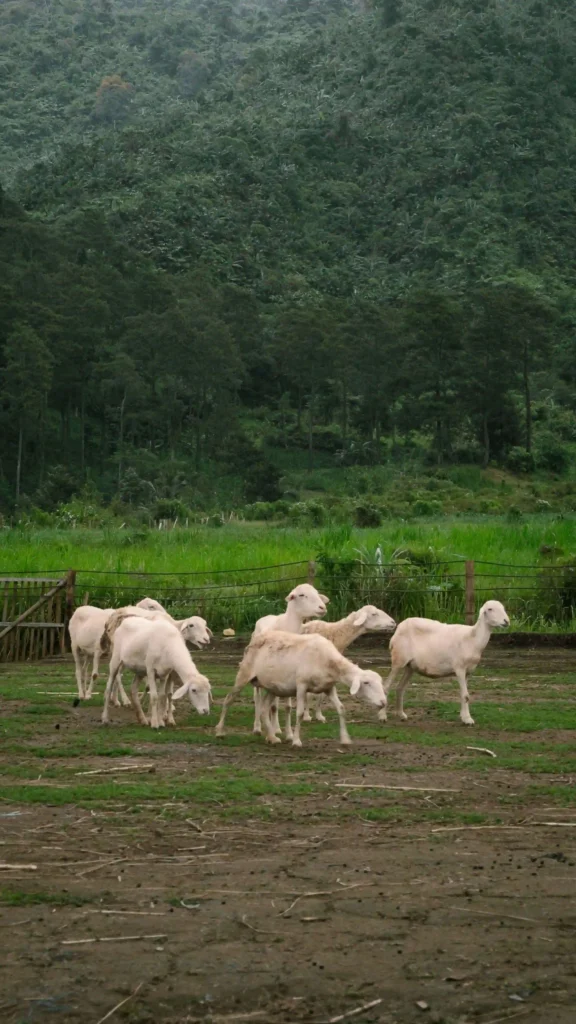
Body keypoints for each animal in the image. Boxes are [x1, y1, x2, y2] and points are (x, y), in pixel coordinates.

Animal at [213, 626, 383, 749]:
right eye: (366, 683)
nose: (383, 702)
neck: (328, 661)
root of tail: (255, 639)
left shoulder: (329, 688)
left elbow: (341, 709)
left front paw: (345, 739)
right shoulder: (301, 685)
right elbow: (300, 713)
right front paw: (296, 741)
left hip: (272, 687)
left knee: (263, 709)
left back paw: (272, 737)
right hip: (244, 673)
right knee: (229, 699)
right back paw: (220, 731)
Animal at [381, 598, 506, 729]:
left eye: (503, 608)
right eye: (490, 609)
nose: (506, 621)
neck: (472, 638)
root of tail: (398, 629)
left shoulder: (468, 672)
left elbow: (464, 695)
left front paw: (464, 717)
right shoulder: (459, 668)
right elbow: (465, 695)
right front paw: (468, 719)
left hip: (411, 666)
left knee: (400, 688)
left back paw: (401, 714)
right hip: (398, 660)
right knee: (386, 687)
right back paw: (383, 717)